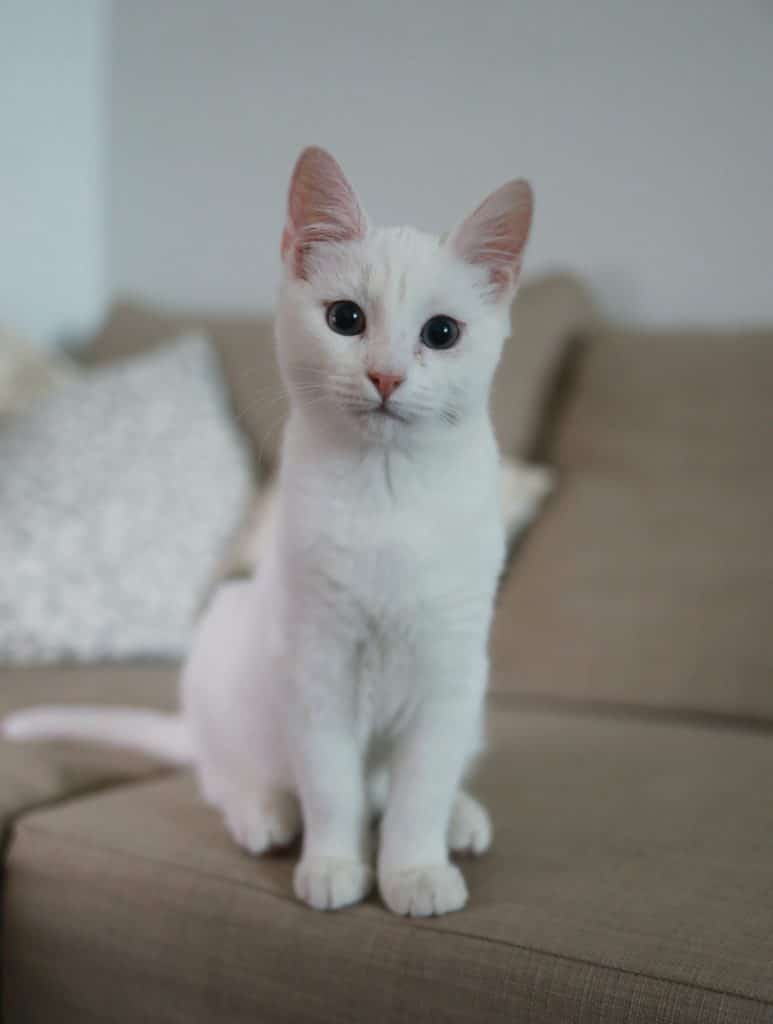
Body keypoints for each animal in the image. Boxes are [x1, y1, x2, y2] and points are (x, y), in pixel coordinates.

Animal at [6, 146, 536, 921]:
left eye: (441, 333)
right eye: (345, 318)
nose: (385, 374)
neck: (388, 493)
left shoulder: (447, 673)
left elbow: (418, 793)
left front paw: (414, 870)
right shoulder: (317, 668)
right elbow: (334, 788)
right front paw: (336, 865)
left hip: (473, 698)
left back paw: (461, 818)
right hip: (224, 655)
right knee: (224, 776)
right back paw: (264, 813)